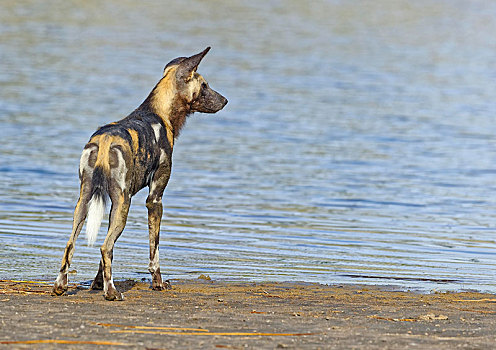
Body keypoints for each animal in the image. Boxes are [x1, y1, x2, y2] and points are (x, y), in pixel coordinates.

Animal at [53, 47, 228, 300]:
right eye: (204, 85)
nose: (225, 100)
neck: (161, 113)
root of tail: (105, 142)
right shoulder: (154, 199)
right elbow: (154, 252)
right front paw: (158, 283)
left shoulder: (112, 207)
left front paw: (97, 283)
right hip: (123, 204)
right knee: (105, 247)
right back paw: (112, 293)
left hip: (87, 202)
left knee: (71, 245)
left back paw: (61, 287)